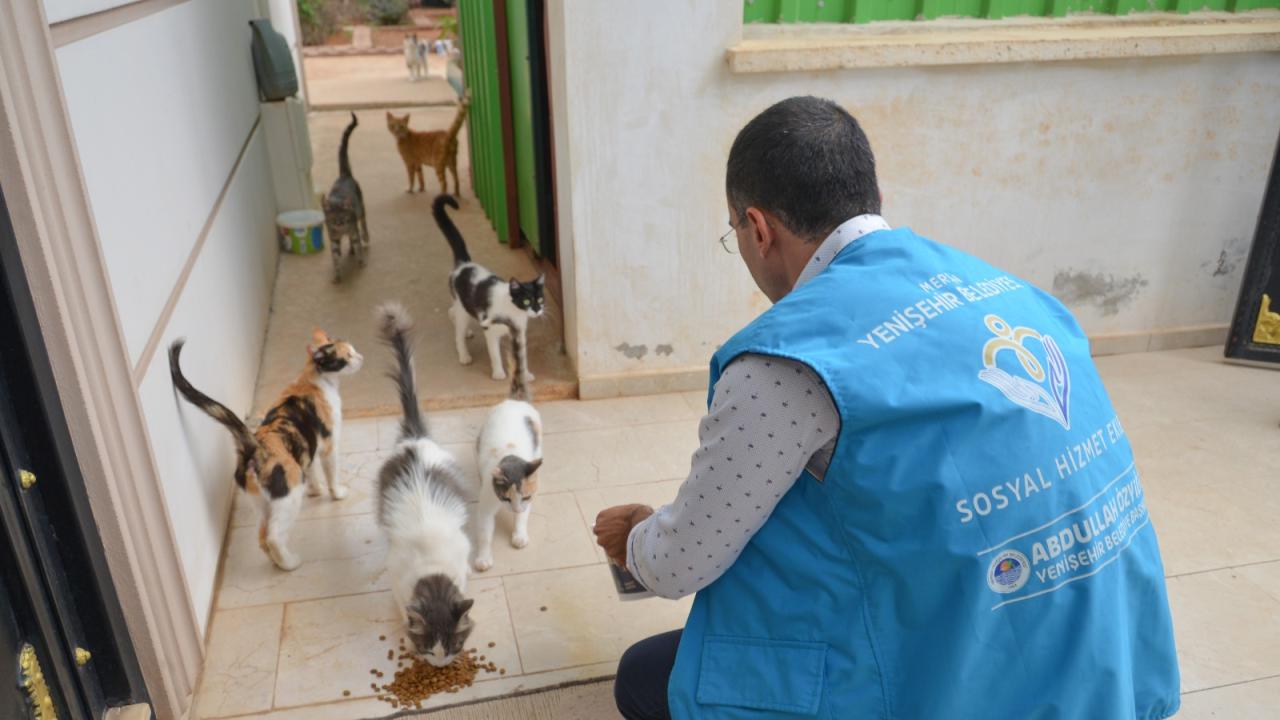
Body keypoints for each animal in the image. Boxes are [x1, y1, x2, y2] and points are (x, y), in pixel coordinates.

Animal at [167, 330, 363, 571]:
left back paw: (278, 563)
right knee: (273, 537)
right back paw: (290, 564)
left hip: (262, 503)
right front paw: (337, 494)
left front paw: (315, 490)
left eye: (353, 351)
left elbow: (312, 470)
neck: (312, 379)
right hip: (287, 497)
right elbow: (331, 474)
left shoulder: (307, 448)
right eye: (348, 356)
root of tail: (253, 447)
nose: (361, 357)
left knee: (261, 537)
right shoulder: (328, 444)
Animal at [373, 299, 476, 666]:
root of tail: (413, 439)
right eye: (431, 649)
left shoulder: (461, 552)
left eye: (454, 646)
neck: (432, 568)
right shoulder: (396, 574)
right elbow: (402, 605)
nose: (441, 664)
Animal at [435, 190, 545, 381]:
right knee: (458, 331)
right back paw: (464, 354)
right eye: (526, 301)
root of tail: (464, 264)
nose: (538, 310)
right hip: (462, 308)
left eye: (539, 299)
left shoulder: (519, 334)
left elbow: (522, 357)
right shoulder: (490, 331)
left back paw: (465, 331)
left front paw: (525, 374)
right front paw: (499, 373)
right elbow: (495, 355)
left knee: (452, 312)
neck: (514, 313)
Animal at [476, 322, 545, 568]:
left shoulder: (530, 496)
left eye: (524, 498)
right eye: (506, 498)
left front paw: (519, 535)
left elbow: (522, 518)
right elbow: (484, 533)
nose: (514, 508)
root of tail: (515, 401)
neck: (511, 454)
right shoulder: (485, 505)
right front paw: (483, 558)